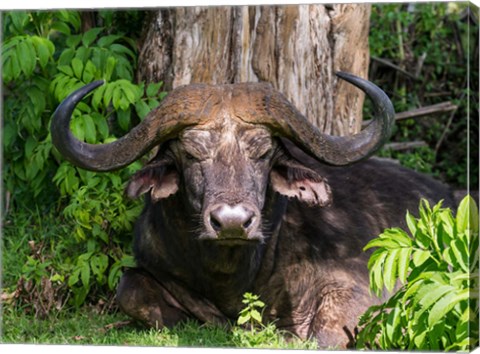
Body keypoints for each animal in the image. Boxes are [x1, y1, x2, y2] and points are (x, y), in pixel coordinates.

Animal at [52, 72, 454, 348]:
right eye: (192, 154)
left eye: (262, 153)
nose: (232, 221)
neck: (234, 274)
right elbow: (129, 288)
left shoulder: (360, 286)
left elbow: (324, 332)